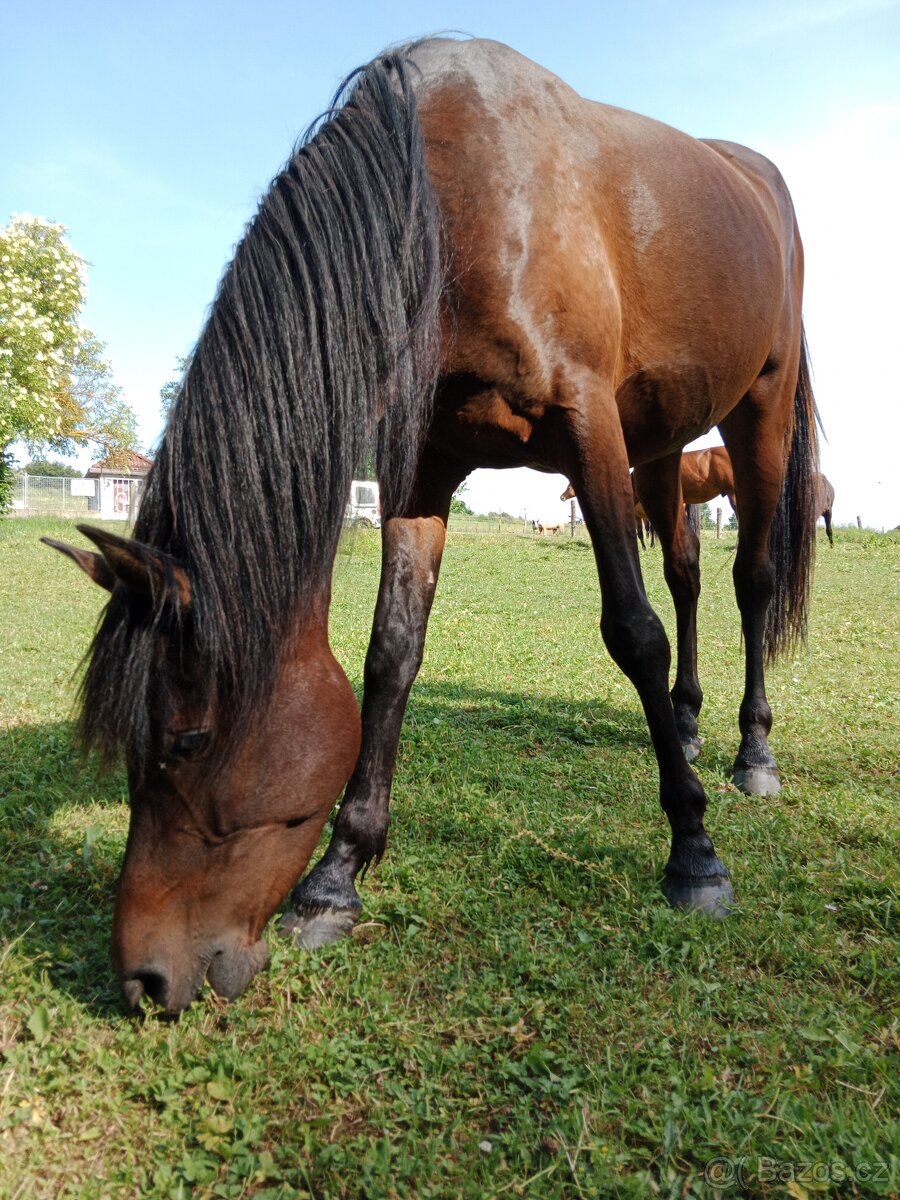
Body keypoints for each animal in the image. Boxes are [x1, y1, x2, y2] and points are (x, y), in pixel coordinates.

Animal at [45, 39, 820, 1012]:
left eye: (185, 740)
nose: (143, 979)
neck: (445, 205)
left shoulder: (589, 427)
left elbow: (632, 632)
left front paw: (695, 854)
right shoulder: (422, 468)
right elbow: (390, 655)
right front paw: (335, 879)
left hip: (761, 412)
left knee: (749, 581)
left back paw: (753, 754)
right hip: (664, 443)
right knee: (685, 569)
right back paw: (683, 723)